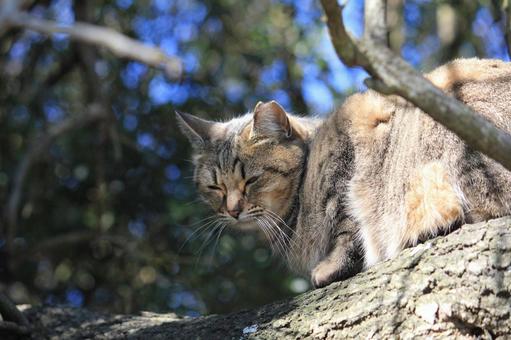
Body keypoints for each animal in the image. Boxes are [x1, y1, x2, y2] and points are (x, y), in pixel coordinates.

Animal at [178, 57, 511, 286]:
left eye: (251, 180)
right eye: (215, 188)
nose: (233, 210)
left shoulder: (345, 166)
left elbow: (348, 230)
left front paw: (331, 267)